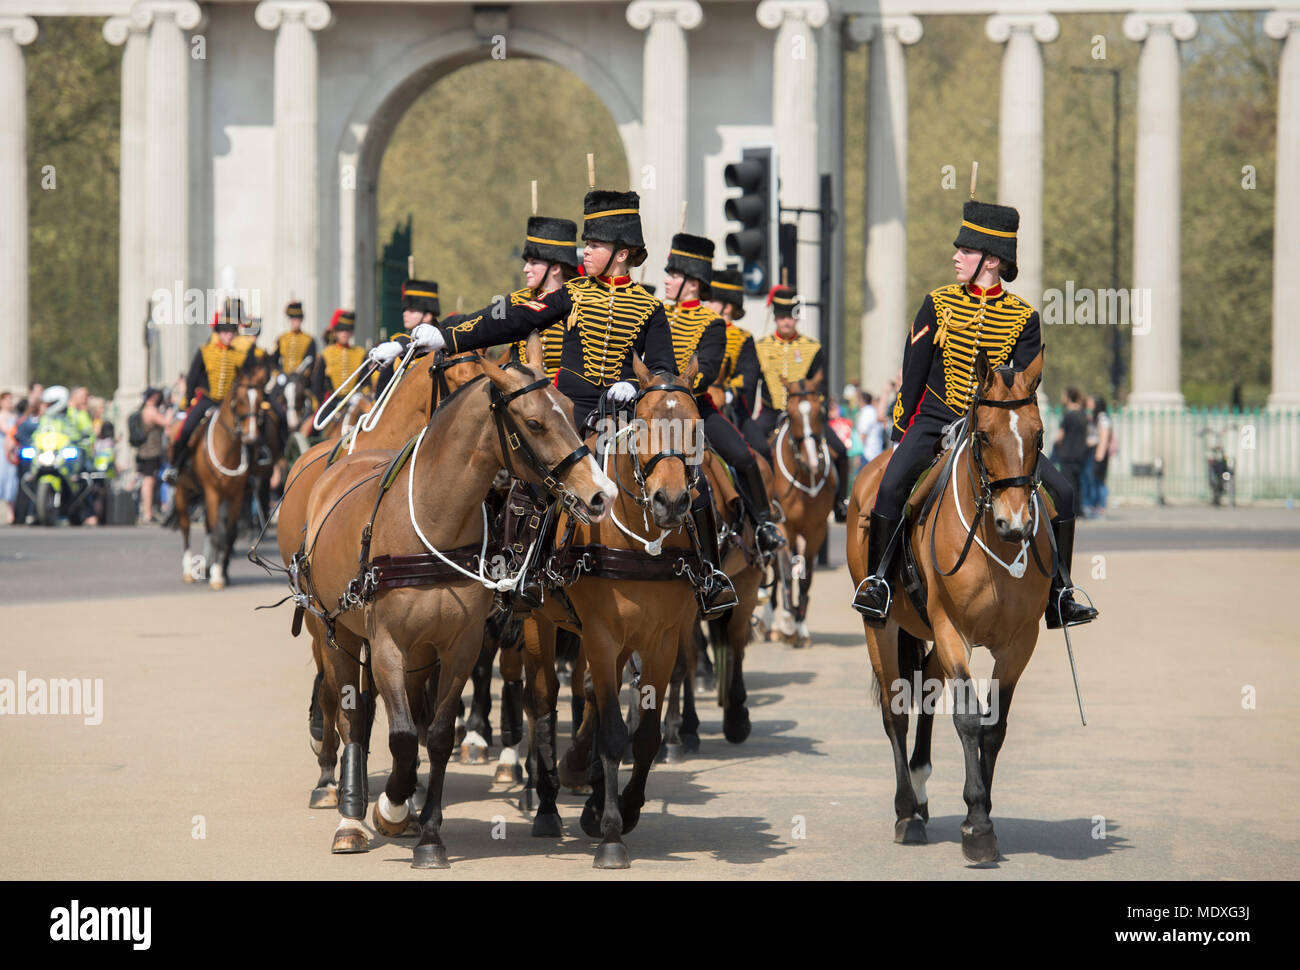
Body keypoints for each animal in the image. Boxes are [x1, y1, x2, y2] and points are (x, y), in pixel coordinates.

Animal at [174, 369, 265, 582]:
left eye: (260, 400)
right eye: (240, 400)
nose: (251, 438)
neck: (227, 448)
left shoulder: (236, 496)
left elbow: (229, 534)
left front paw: (222, 570)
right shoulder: (213, 493)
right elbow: (217, 533)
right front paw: (217, 576)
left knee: (208, 526)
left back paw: (205, 566)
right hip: (182, 490)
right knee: (185, 526)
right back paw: (188, 569)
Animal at [301, 335, 616, 863]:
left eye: (573, 412)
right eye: (534, 423)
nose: (600, 494)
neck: (434, 521)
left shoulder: (458, 646)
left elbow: (437, 734)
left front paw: (426, 832)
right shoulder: (387, 646)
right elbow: (401, 735)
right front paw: (388, 809)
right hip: (336, 631)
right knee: (350, 716)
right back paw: (349, 816)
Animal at [764, 369, 837, 650]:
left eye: (820, 411)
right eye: (791, 413)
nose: (813, 462)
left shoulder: (816, 530)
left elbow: (805, 578)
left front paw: (801, 628)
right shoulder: (784, 526)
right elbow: (785, 570)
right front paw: (786, 623)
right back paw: (773, 623)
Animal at [847, 351, 1050, 863]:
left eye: (1039, 435)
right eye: (984, 435)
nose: (1016, 525)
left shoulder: (1020, 643)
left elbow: (994, 726)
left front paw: (984, 811)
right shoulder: (954, 632)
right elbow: (968, 719)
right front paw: (977, 823)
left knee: (925, 697)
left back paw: (920, 795)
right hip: (882, 627)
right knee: (896, 712)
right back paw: (905, 811)